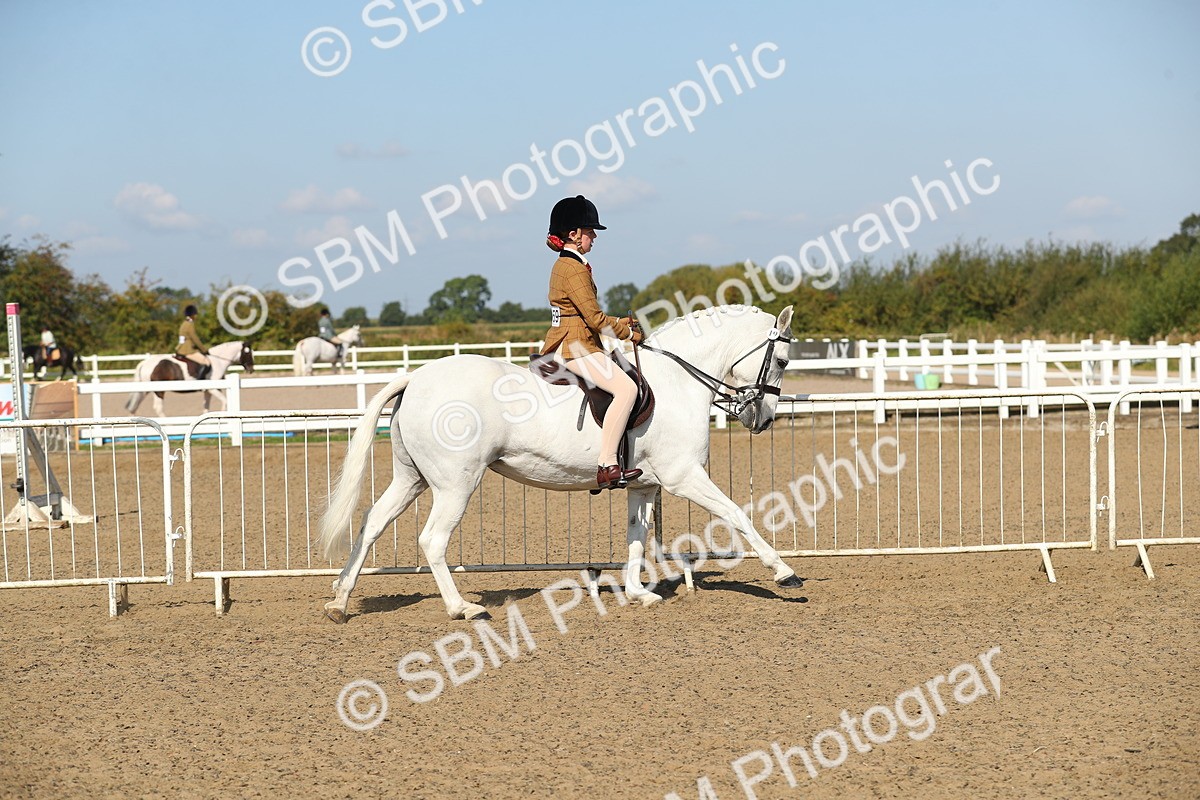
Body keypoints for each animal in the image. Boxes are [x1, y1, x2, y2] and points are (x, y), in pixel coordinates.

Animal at [124, 341, 255, 417]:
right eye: (247, 352)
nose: (251, 369)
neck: (217, 361)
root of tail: (145, 363)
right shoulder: (213, 389)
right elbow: (225, 401)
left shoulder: (208, 391)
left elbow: (206, 407)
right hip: (159, 391)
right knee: (158, 408)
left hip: (144, 390)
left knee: (134, 407)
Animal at [318, 304, 801, 623]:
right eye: (780, 360)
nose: (761, 419)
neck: (677, 381)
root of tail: (416, 376)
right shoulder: (685, 477)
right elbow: (738, 514)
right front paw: (785, 573)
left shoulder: (644, 484)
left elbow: (637, 537)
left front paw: (637, 593)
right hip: (455, 484)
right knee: (433, 540)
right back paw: (462, 608)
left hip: (412, 478)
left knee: (372, 523)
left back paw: (340, 602)